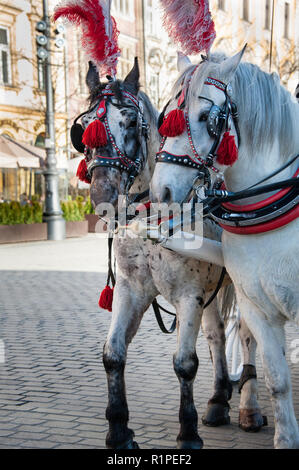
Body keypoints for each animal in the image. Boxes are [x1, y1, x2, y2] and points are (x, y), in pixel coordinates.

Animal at [151, 49, 299, 450]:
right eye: (165, 117)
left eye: (207, 117)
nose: (161, 192)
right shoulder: (257, 306)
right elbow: (277, 379)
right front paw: (285, 437)